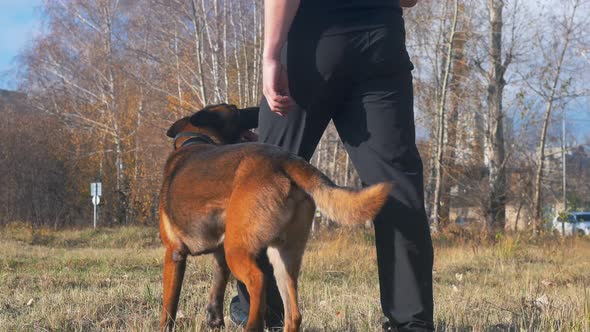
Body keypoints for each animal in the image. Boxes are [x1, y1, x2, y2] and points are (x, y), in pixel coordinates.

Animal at [160, 102, 396, 330]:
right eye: (235, 110)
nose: (259, 108)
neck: (194, 140)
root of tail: (284, 159)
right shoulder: (219, 257)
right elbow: (215, 294)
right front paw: (214, 322)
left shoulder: (175, 253)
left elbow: (169, 306)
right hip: (283, 256)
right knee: (293, 315)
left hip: (237, 249)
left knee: (258, 281)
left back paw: (253, 325)